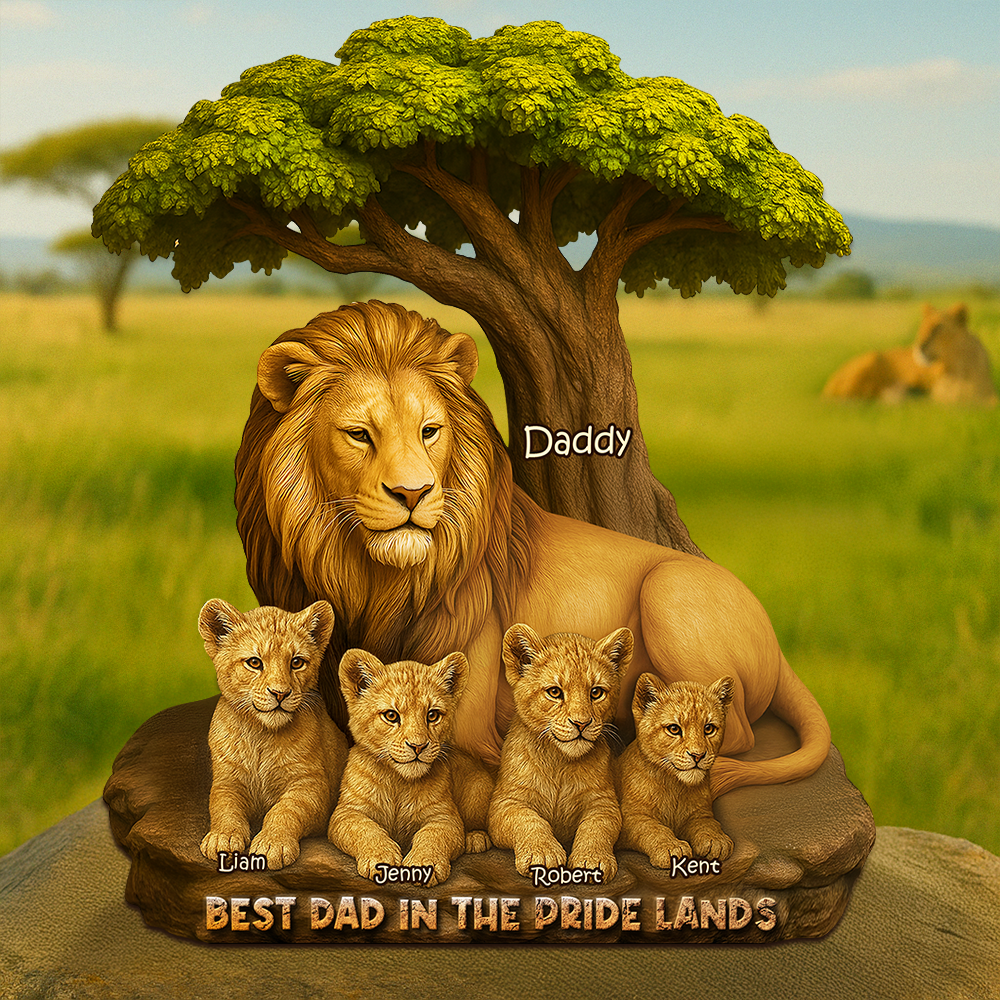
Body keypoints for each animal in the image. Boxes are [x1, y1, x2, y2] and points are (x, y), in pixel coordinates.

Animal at [236, 299, 831, 797]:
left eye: (430, 431)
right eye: (359, 434)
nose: (413, 493)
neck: (369, 576)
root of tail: (776, 640)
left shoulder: (467, 710)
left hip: (670, 588)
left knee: (739, 731)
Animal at [823, 303, 998, 405]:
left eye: (938, 327)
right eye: (923, 326)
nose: (919, 346)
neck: (955, 367)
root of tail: (829, 383)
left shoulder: (987, 394)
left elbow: (991, 403)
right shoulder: (938, 398)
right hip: (870, 360)